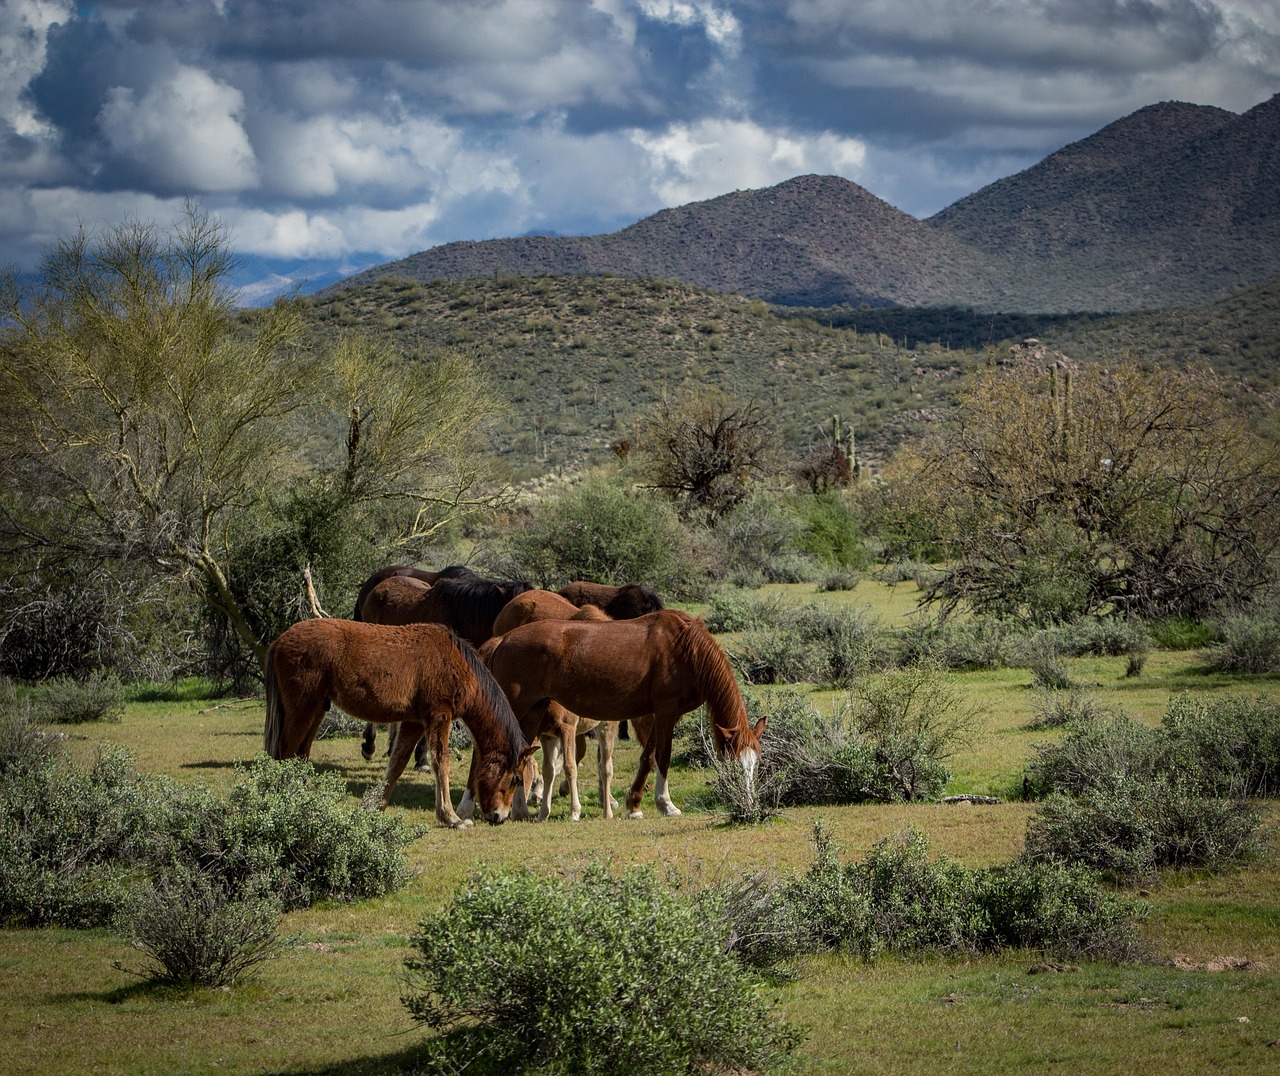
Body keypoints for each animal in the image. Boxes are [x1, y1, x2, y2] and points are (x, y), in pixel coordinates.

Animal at [264, 614, 535, 823]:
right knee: (285, 752)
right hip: (302, 709)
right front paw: (451, 817)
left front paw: (376, 807)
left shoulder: (414, 722)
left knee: (300, 754)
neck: (456, 662)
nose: (499, 817)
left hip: (317, 710)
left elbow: (397, 763)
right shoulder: (439, 715)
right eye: (515, 778)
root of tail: (279, 641)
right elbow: (441, 762)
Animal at [481, 609, 757, 818]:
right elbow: (663, 756)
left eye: (754, 765)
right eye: (733, 766)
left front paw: (634, 804)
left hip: (532, 714)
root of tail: (503, 640)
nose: (748, 803)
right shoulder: (666, 712)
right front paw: (666, 804)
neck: (685, 647)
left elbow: (648, 757)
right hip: (516, 710)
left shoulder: (665, 715)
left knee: (522, 755)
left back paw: (521, 810)